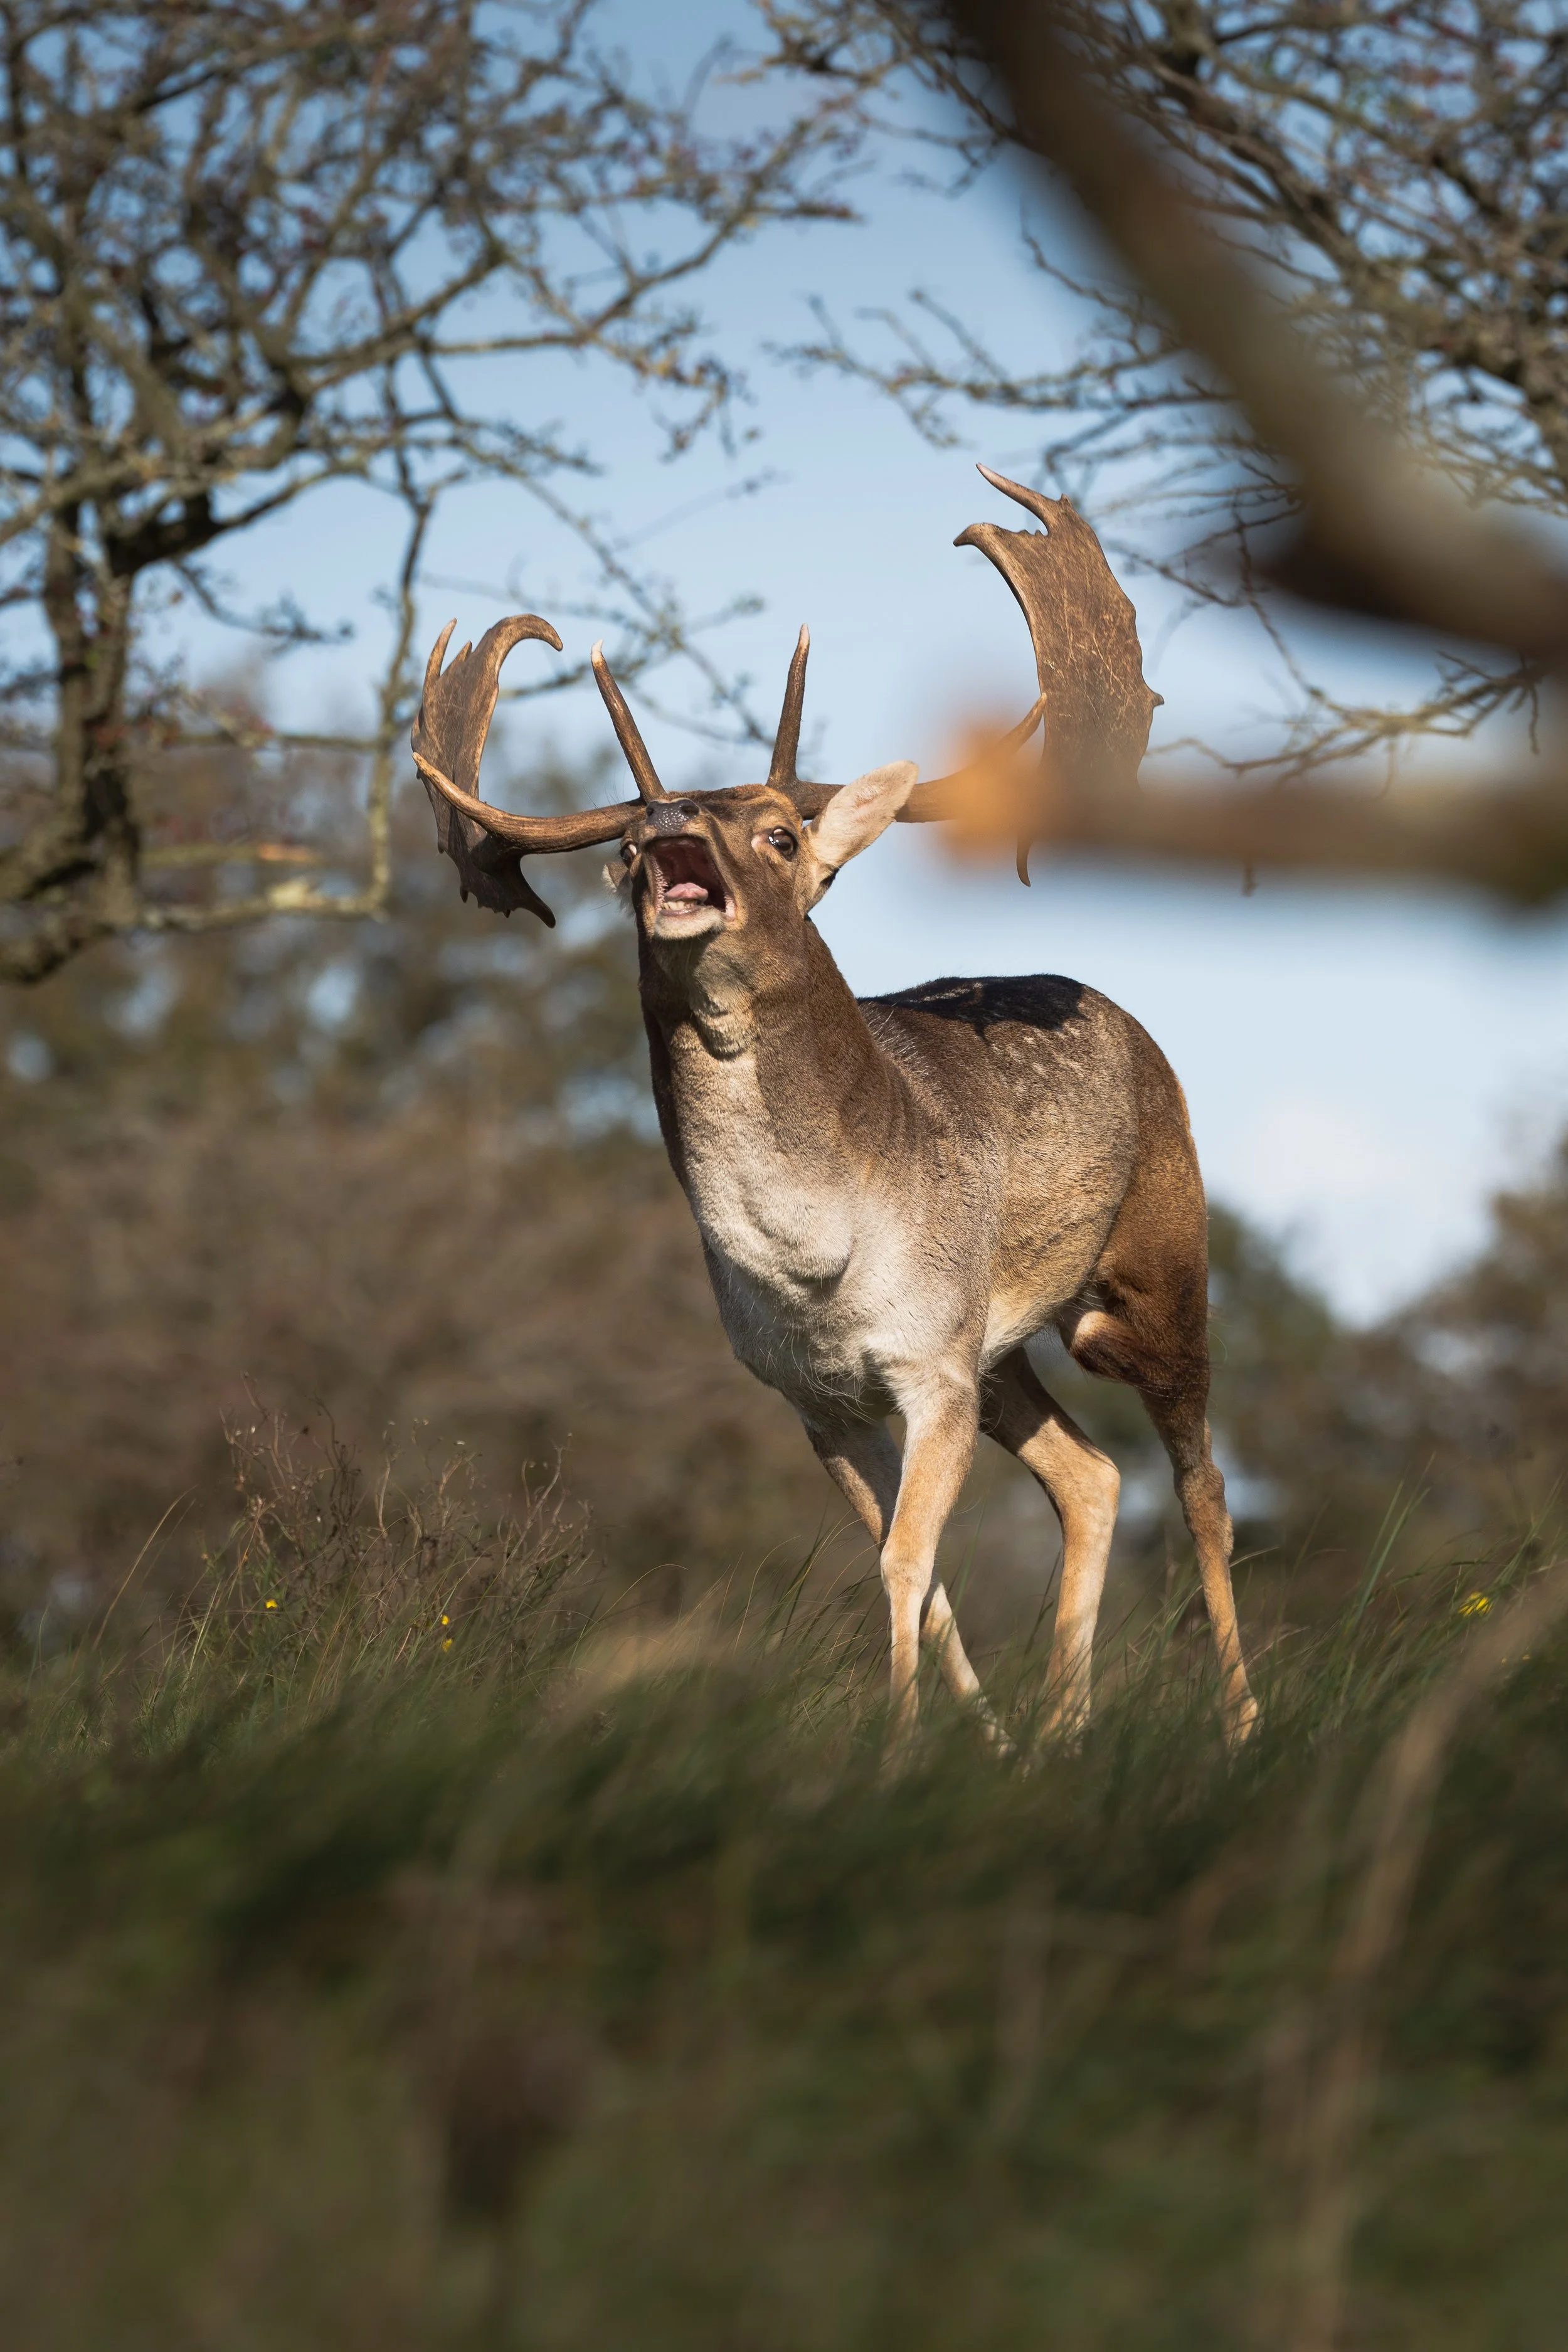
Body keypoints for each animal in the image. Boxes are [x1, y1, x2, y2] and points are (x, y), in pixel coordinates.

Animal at [411, 467, 1258, 1749]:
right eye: (626, 848)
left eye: (779, 832)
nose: (669, 828)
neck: (816, 1261)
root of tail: (1132, 1025)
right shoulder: (819, 1395)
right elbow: (908, 1568)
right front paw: (973, 1739)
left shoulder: (934, 1364)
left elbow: (910, 1561)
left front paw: (900, 1747)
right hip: (1009, 1348)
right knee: (1094, 1476)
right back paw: (1060, 1730)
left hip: (1159, 1262)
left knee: (1203, 1482)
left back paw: (1245, 1722)